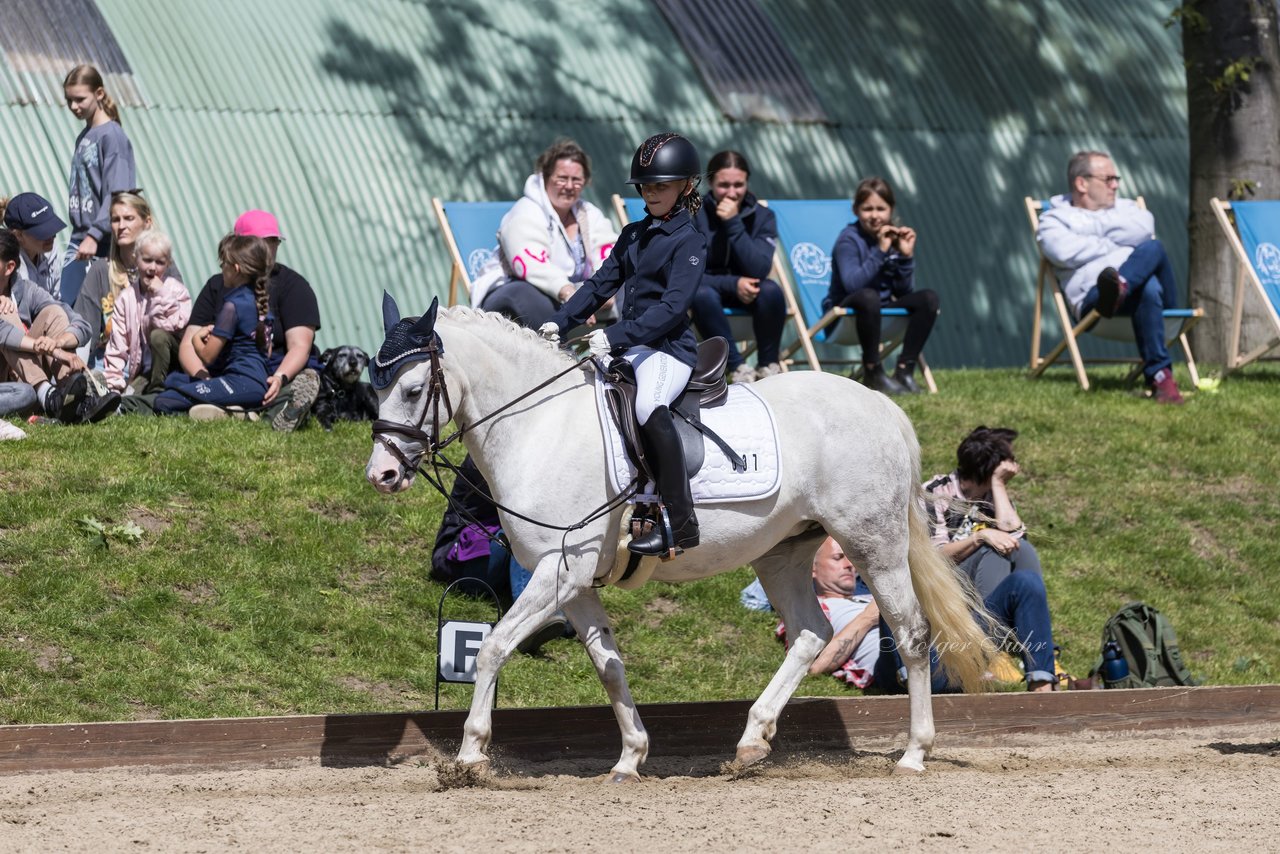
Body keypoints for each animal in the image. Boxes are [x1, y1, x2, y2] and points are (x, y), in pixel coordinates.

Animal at [366, 295, 993, 783]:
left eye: (414, 388)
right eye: (375, 384)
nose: (383, 474)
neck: (541, 426)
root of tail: (880, 404)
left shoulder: (561, 570)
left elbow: (493, 646)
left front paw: (470, 755)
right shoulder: (574, 580)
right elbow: (609, 664)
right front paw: (630, 757)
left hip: (873, 543)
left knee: (912, 633)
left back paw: (913, 754)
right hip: (783, 552)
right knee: (812, 633)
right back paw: (751, 742)